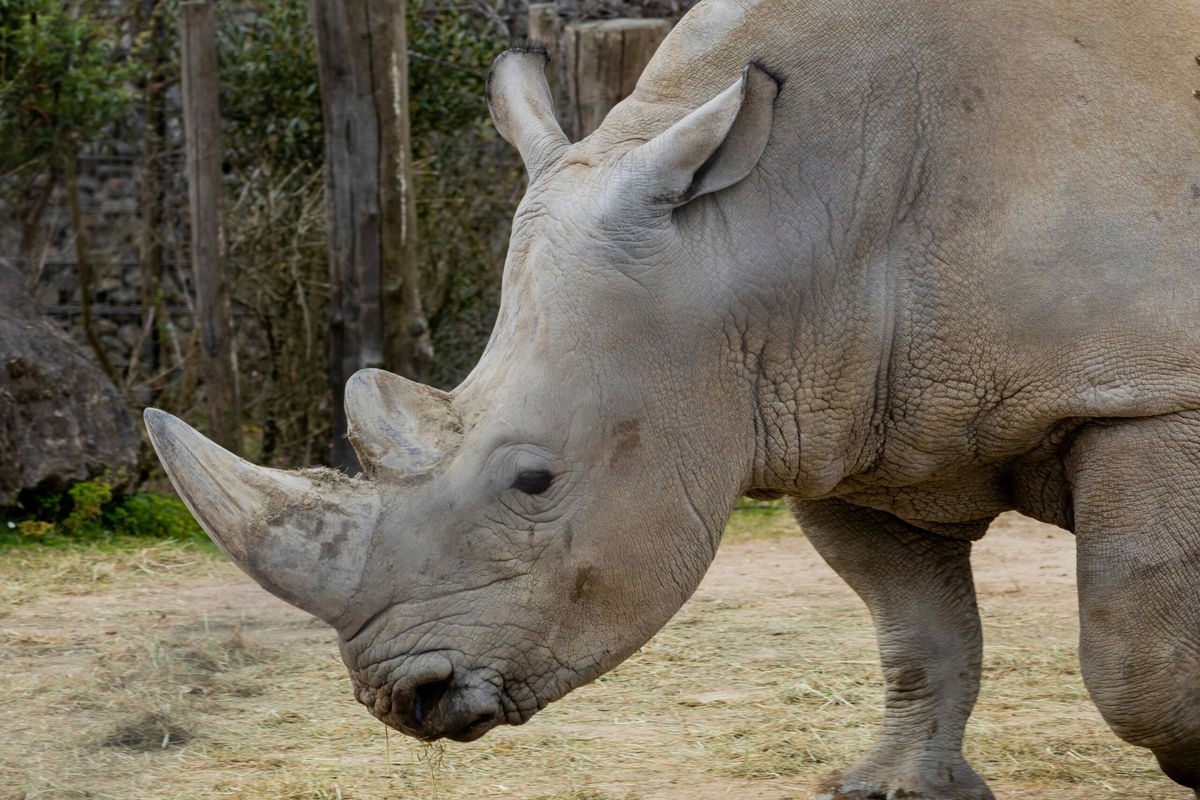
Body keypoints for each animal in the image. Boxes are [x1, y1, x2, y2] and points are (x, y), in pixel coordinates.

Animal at [145, 0, 1200, 796]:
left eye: (534, 481)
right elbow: (917, 632)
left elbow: (1134, 655)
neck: (769, 218)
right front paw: (894, 789)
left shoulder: (1153, 393)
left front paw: (1191, 761)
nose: (404, 697)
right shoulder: (842, 415)